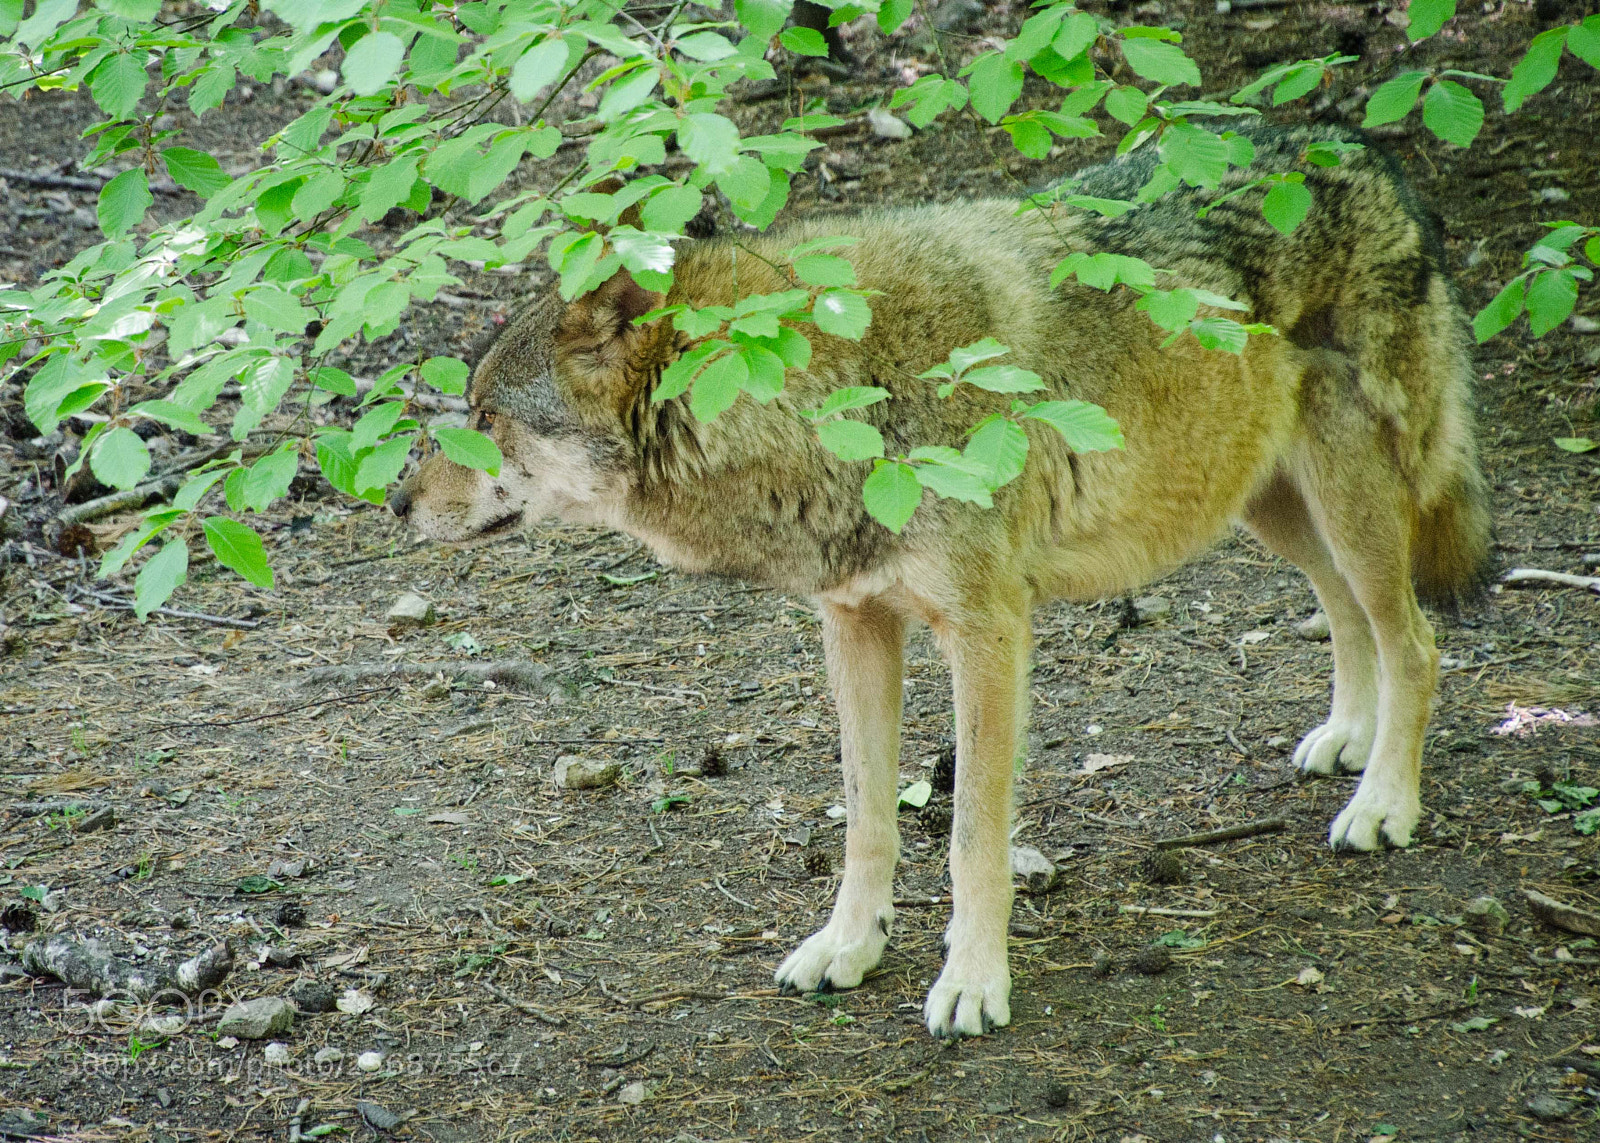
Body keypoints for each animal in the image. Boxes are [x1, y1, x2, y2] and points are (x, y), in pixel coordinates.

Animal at [389, 125, 1490, 1039]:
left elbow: (970, 839)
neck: (826, 400)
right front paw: (849, 946)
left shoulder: (988, 632)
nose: (394, 501)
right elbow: (869, 818)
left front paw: (972, 983)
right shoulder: (853, 625)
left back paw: (1384, 804)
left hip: (1339, 503)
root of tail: (1362, 146)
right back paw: (1347, 739)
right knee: (1350, 615)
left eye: (482, 420)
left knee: (1418, 640)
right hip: (1266, 509)